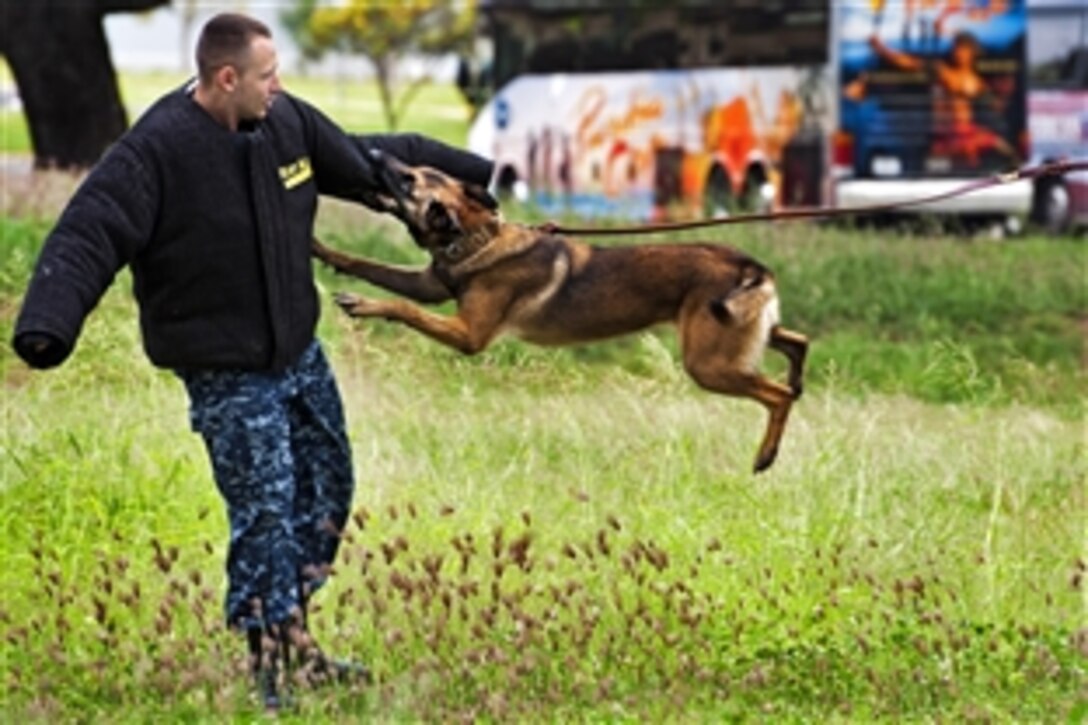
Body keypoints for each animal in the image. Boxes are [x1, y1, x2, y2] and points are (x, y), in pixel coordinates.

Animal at [315, 155, 809, 472]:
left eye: (409, 179)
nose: (374, 151)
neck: (479, 237)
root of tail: (750, 267)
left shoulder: (468, 335)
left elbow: (404, 307)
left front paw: (363, 304)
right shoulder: (429, 286)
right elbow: (364, 264)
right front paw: (320, 248)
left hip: (707, 363)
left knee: (777, 396)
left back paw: (766, 455)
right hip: (738, 338)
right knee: (795, 343)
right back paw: (797, 379)